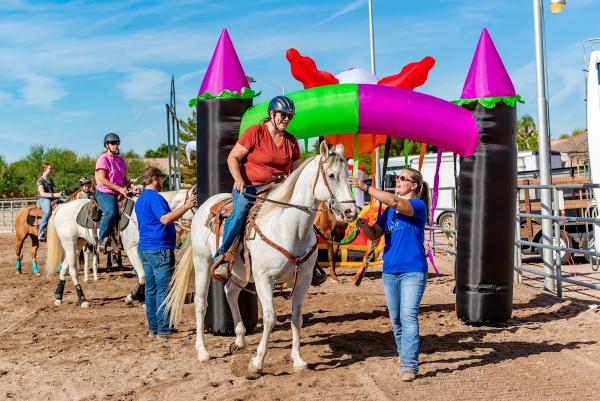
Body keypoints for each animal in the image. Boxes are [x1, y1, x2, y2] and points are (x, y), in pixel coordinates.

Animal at [163, 142, 356, 374]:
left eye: (349, 175)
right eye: (332, 175)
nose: (351, 211)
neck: (288, 228)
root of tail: (204, 205)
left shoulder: (304, 278)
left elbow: (297, 317)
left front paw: (298, 359)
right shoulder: (265, 278)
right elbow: (270, 317)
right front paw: (257, 362)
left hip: (240, 272)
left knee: (230, 292)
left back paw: (240, 338)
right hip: (202, 263)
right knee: (201, 303)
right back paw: (202, 351)